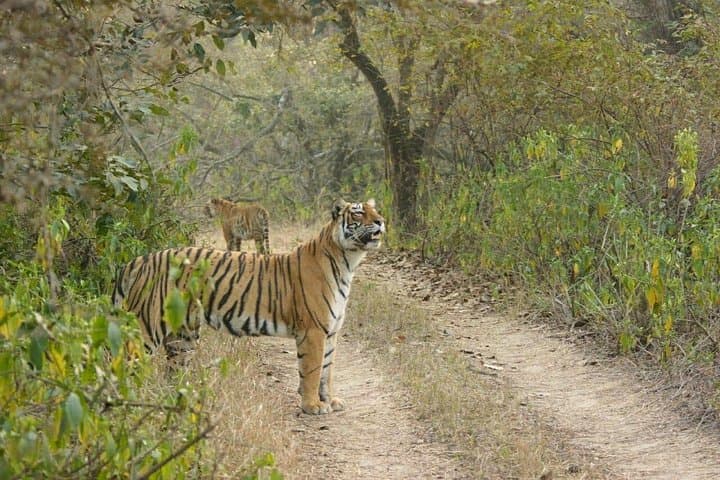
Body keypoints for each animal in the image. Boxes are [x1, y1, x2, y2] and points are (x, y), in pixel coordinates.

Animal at [113, 198, 385, 415]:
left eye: (376, 210)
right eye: (359, 213)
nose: (382, 221)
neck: (348, 261)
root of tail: (137, 261)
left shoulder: (331, 331)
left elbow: (327, 371)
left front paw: (329, 401)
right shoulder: (313, 330)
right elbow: (312, 370)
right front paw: (312, 406)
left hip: (183, 335)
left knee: (172, 370)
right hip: (146, 327)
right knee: (124, 364)